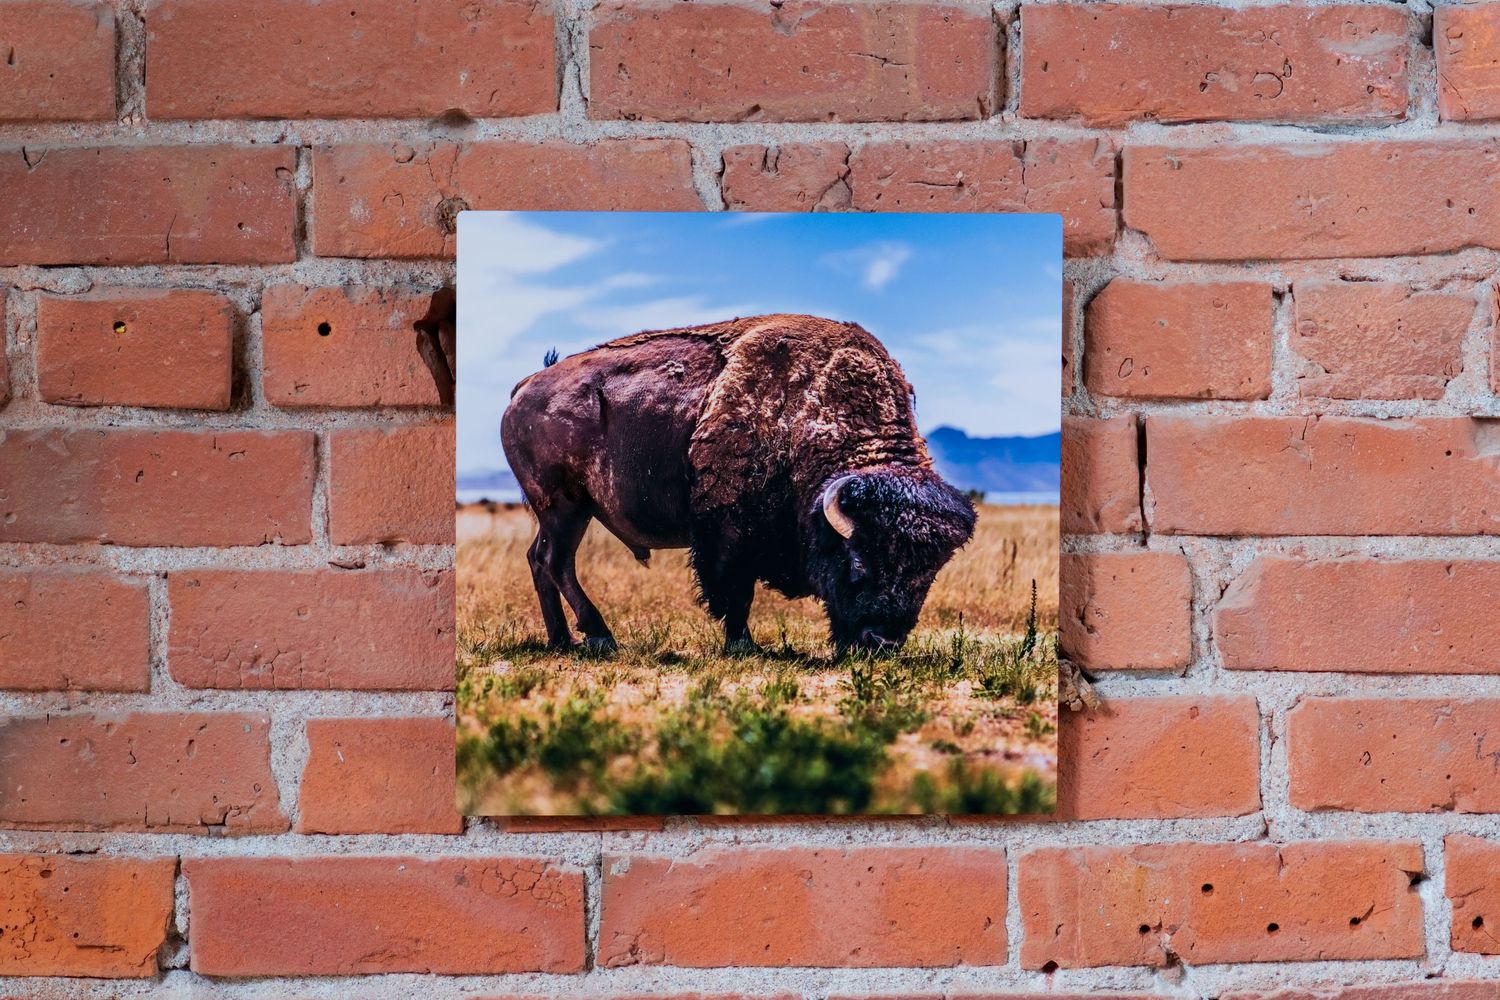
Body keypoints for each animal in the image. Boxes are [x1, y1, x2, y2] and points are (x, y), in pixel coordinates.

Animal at [501, 313, 976, 655]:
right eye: (858, 561)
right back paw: (600, 637)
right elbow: (735, 592)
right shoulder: (727, 535)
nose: (883, 642)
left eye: (928, 575)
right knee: (556, 562)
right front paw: (745, 645)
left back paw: (562, 640)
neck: (807, 416)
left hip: (561, 514)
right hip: (565, 507)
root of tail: (525, 387)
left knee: (539, 559)